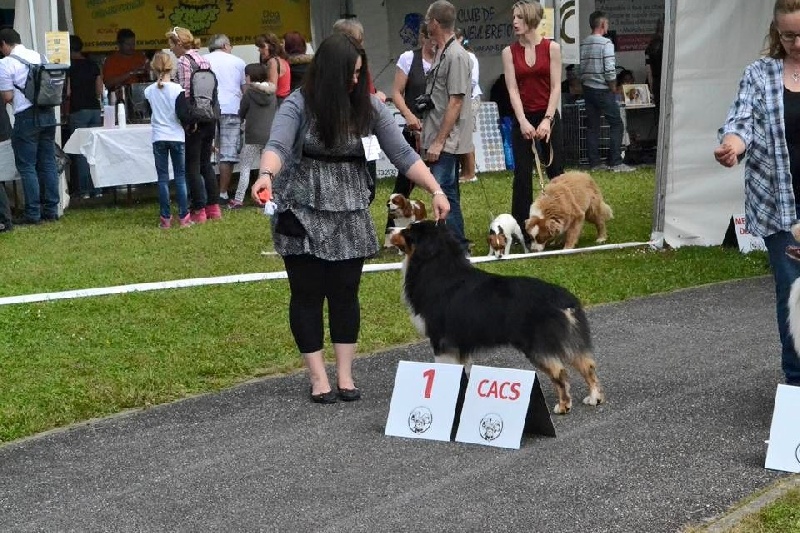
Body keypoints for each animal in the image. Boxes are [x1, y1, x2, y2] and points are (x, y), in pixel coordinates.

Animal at [390, 220, 605, 414]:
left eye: (408, 230)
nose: (390, 229)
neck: (437, 266)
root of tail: (564, 299)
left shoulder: (442, 340)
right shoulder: (460, 343)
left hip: (538, 344)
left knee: (560, 372)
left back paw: (563, 406)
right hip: (570, 338)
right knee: (587, 365)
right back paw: (595, 398)